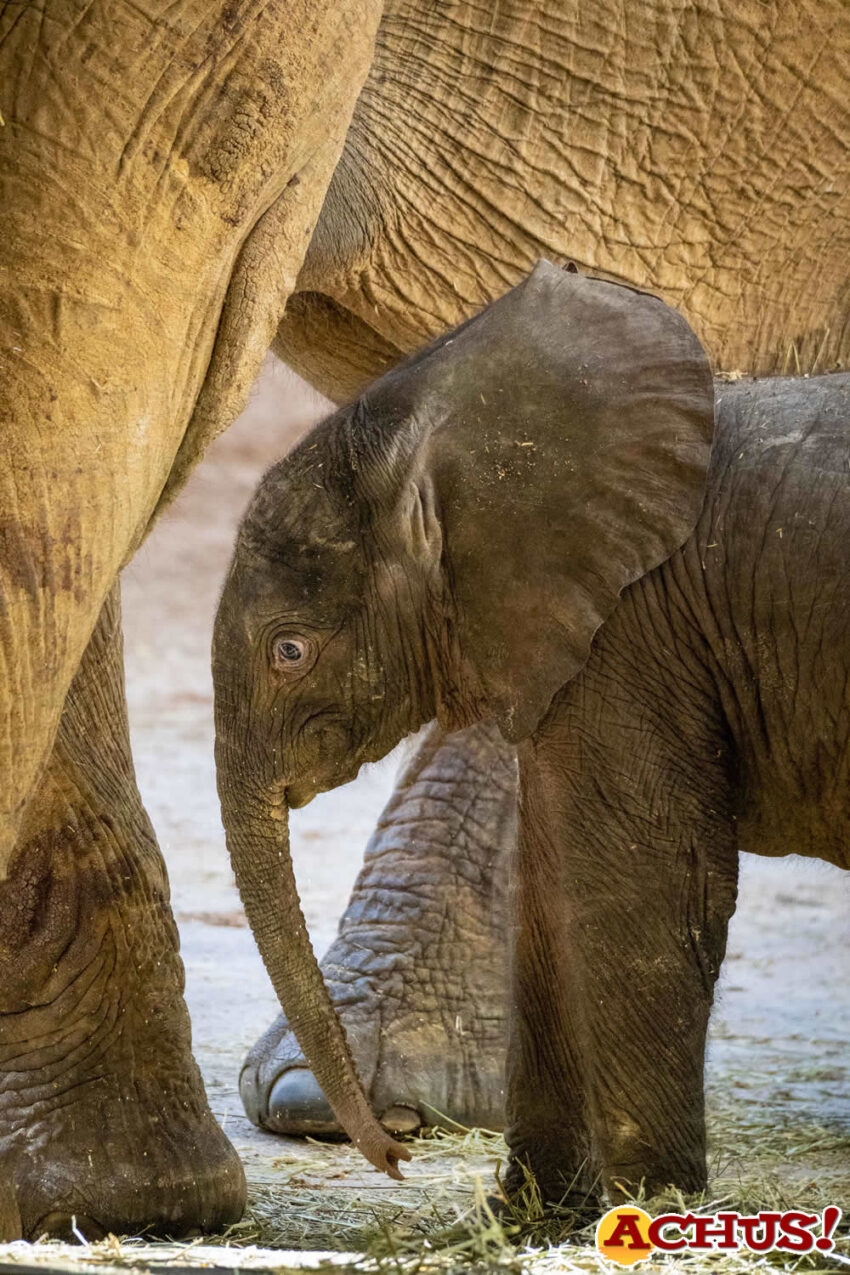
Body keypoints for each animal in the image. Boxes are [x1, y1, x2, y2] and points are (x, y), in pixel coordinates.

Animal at [212, 263, 850, 1198]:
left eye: (289, 650)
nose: (397, 1155)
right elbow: (547, 895)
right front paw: (536, 1208)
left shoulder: (634, 630)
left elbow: (646, 894)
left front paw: (654, 1205)